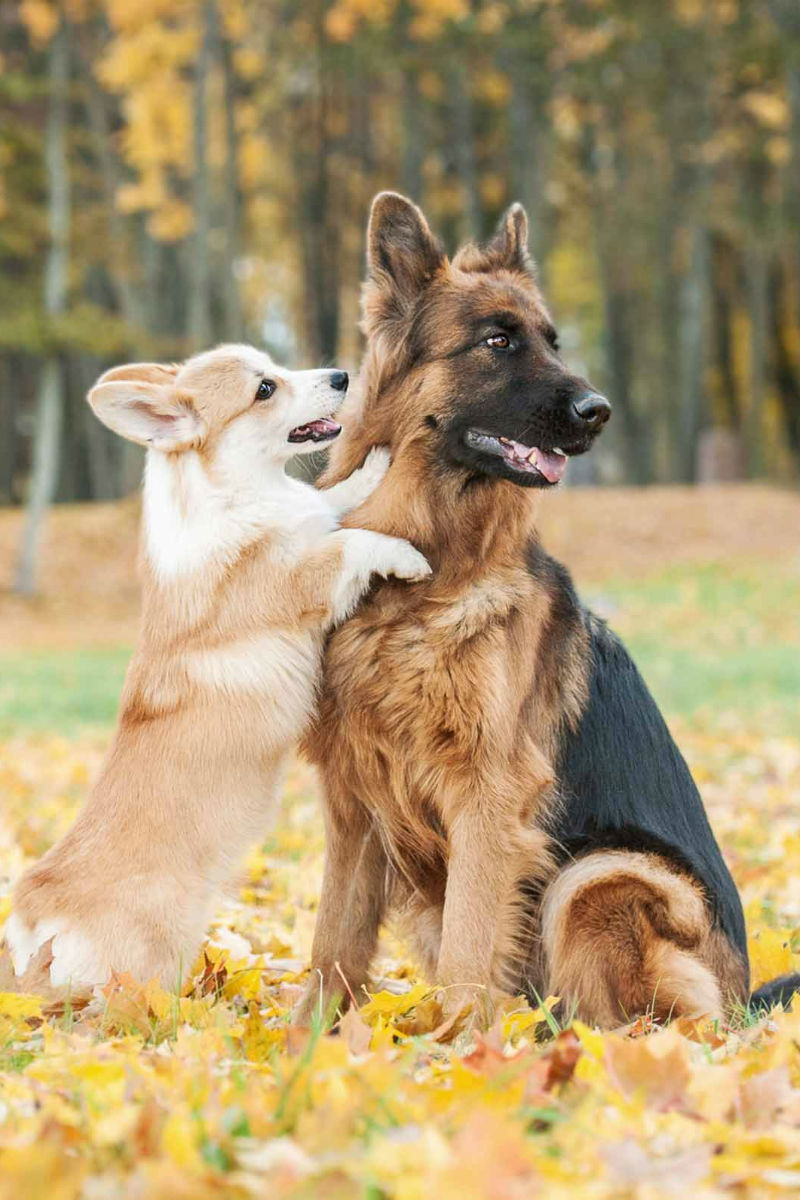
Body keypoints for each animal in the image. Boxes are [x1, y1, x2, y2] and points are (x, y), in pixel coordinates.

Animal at [1, 343, 431, 998]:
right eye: (265, 389)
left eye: (275, 366)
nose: (341, 376)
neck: (234, 495)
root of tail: (31, 923)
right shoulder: (302, 581)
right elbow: (352, 542)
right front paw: (404, 555)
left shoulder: (308, 517)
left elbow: (331, 503)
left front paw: (372, 467)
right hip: (150, 961)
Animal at [296, 192, 800, 1027]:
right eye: (498, 341)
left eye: (553, 341)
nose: (598, 410)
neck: (421, 574)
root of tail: (742, 1002)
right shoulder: (354, 805)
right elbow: (331, 947)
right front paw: (300, 1045)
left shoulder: (489, 801)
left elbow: (469, 954)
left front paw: (458, 1050)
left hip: (599, 874)